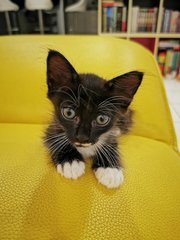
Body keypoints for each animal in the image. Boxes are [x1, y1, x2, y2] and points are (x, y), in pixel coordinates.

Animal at [44, 50, 143, 188]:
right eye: (69, 113)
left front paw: (110, 169)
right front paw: (70, 162)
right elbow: (54, 138)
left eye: (102, 119)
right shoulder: (54, 125)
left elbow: (111, 142)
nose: (82, 138)